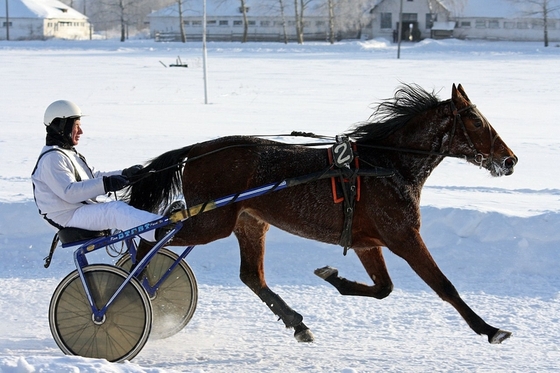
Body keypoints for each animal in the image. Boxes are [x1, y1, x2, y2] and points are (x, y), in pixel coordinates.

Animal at [126, 83, 516, 344]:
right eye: (476, 121)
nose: (510, 159)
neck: (388, 165)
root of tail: (196, 150)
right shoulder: (403, 235)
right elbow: (444, 285)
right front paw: (490, 329)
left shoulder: (367, 243)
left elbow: (383, 288)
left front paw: (332, 276)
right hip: (211, 222)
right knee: (154, 238)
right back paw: (138, 285)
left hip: (250, 222)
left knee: (251, 276)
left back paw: (297, 323)